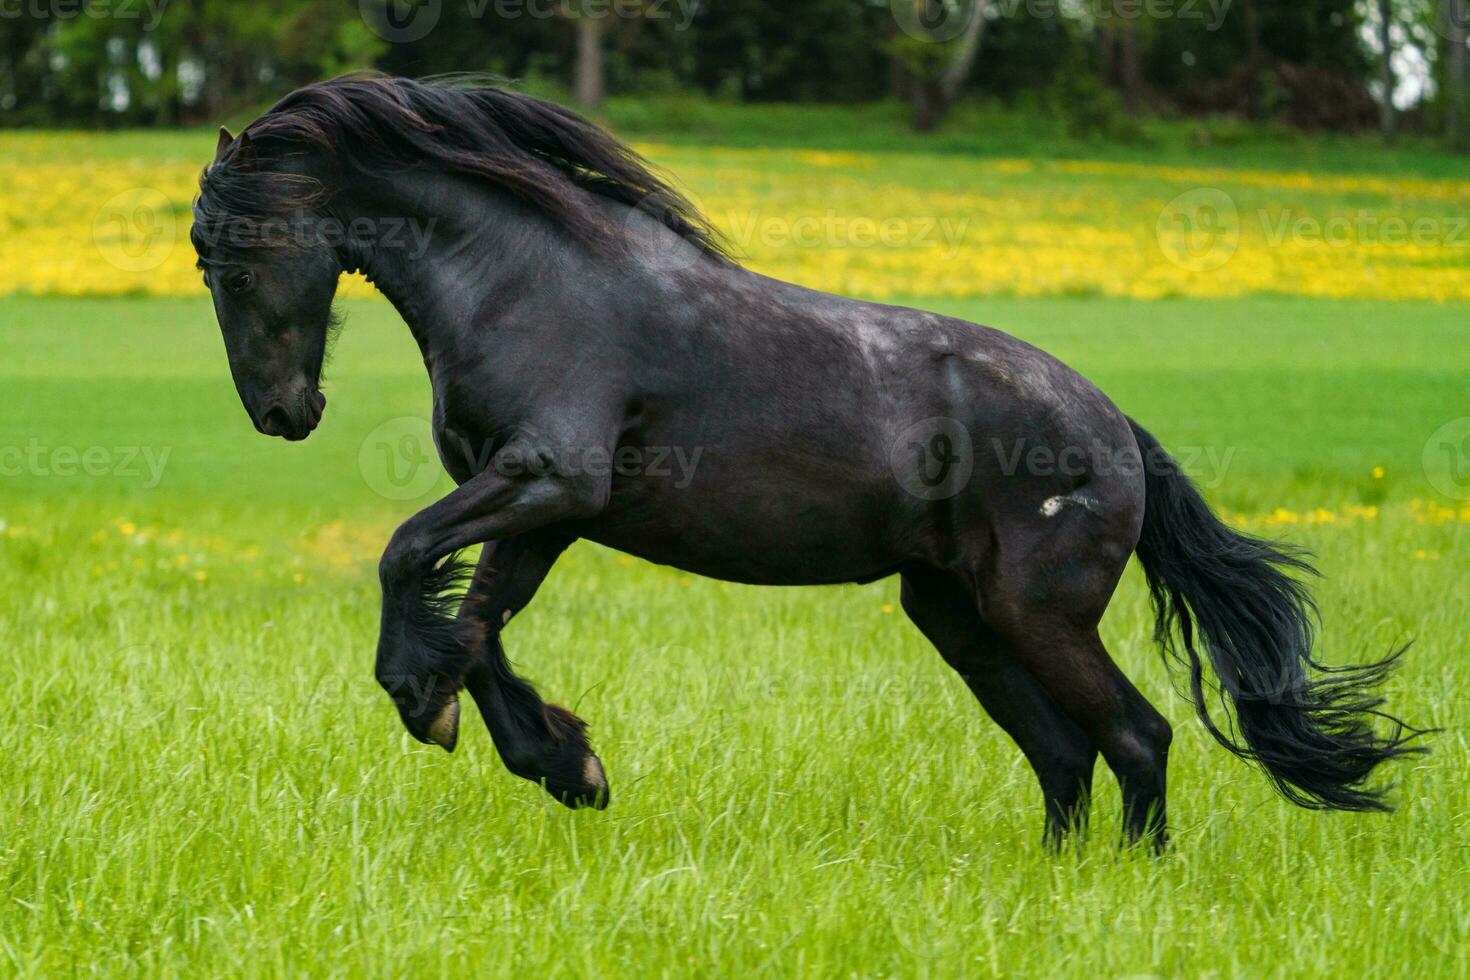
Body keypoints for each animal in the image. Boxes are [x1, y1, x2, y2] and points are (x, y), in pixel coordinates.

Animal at [195, 76, 1422, 846]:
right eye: (205, 260)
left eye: (237, 258)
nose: (280, 413)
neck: (533, 281)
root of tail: (1117, 427)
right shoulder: (544, 508)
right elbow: (478, 625)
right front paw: (563, 762)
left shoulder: (550, 479)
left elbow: (410, 562)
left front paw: (426, 704)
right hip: (956, 614)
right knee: (1063, 752)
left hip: (1038, 614)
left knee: (1135, 734)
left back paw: (1132, 883)